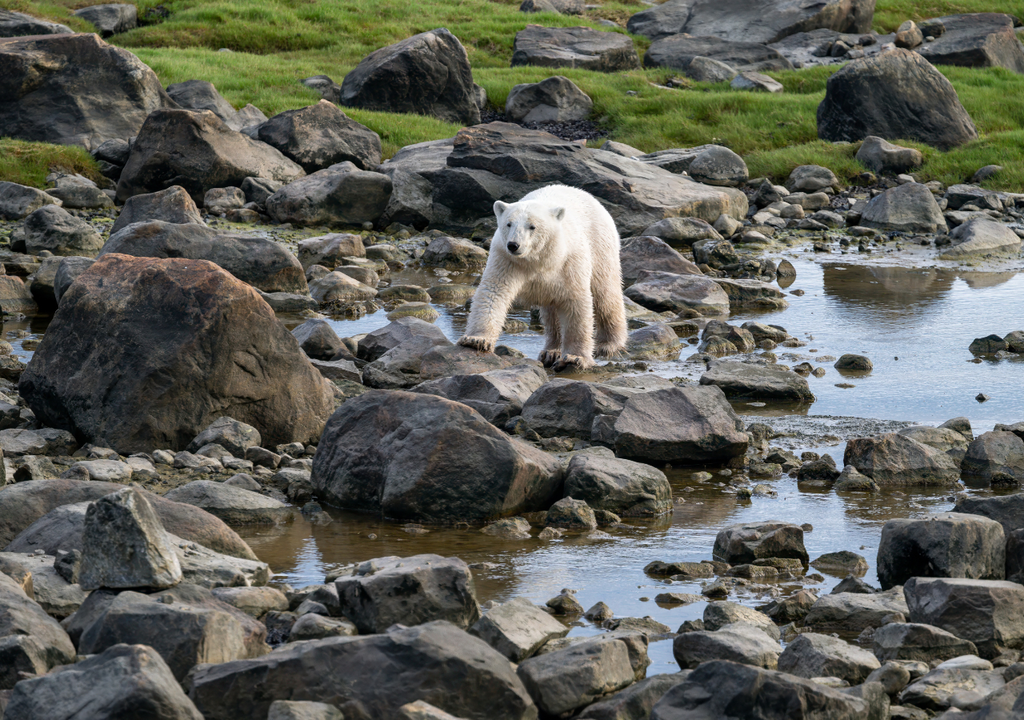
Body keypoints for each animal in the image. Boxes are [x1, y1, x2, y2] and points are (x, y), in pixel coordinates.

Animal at [457, 184, 627, 370]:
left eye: (532, 226)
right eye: (508, 224)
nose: (513, 245)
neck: (539, 259)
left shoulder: (569, 263)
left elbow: (575, 302)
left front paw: (575, 357)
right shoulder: (506, 260)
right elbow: (493, 292)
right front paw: (476, 340)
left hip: (600, 245)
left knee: (605, 294)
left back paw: (609, 344)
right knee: (552, 312)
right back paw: (550, 352)